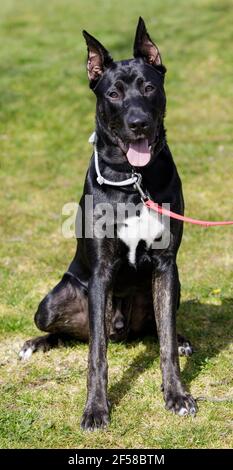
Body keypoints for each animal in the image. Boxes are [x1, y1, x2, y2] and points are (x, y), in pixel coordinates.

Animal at [20, 18, 197, 430]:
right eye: (113, 93)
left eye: (149, 87)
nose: (138, 123)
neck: (134, 179)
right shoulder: (101, 272)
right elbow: (96, 353)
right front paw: (96, 409)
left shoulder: (166, 266)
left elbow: (165, 342)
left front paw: (176, 395)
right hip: (51, 304)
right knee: (75, 334)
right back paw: (35, 345)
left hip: (172, 284)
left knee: (158, 327)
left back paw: (182, 338)